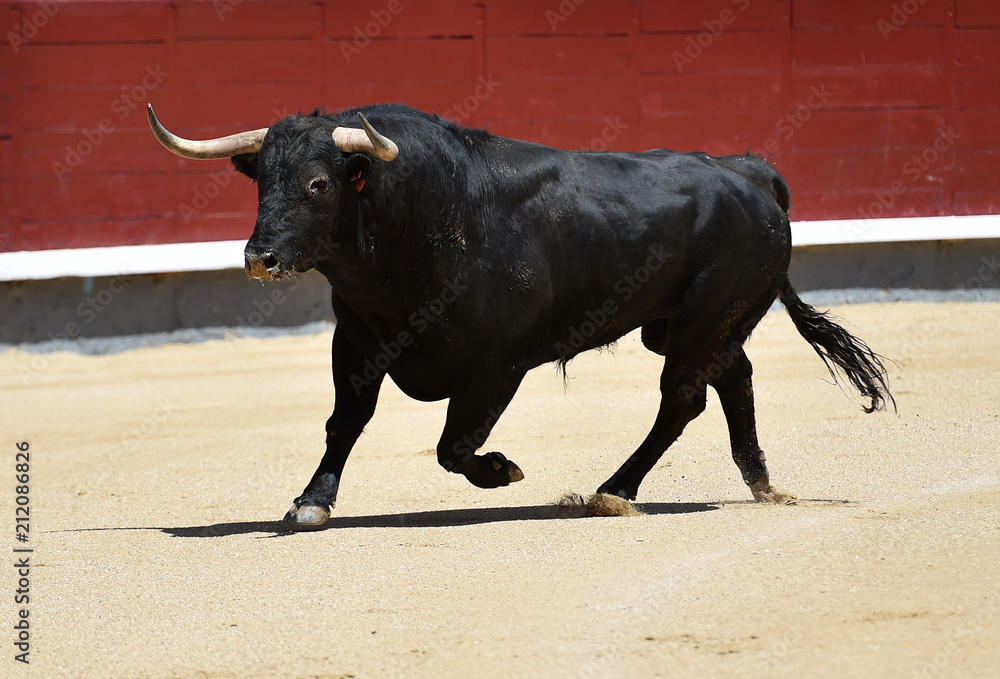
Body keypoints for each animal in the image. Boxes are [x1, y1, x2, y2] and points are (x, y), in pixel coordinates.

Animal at [147, 103, 892, 528]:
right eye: (262, 184)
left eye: (318, 182)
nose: (260, 257)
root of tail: (748, 172)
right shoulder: (356, 342)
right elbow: (345, 422)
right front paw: (313, 500)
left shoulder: (496, 365)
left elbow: (454, 445)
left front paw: (502, 471)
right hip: (689, 325)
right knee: (733, 377)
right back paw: (760, 482)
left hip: (703, 319)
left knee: (683, 398)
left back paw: (615, 490)